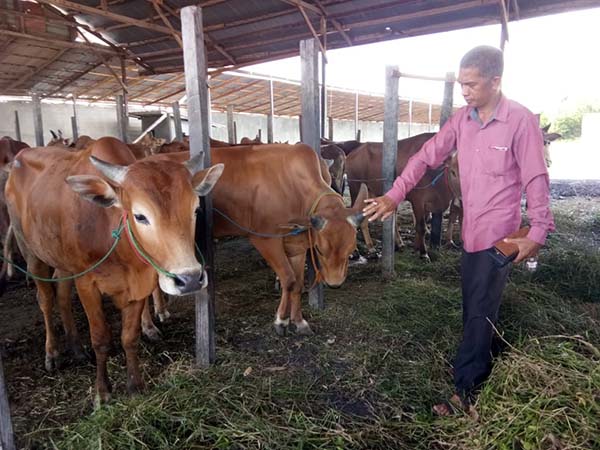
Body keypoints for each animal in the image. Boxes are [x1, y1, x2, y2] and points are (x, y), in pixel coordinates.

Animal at [4, 138, 225, 400]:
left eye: (195, 210)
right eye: (140, 216)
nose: (189, 279)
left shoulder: (140, 284)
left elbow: (129, 337)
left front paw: (135, 385)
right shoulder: (87, 284)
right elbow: (101, 339)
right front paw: (102, 392)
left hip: (63, 263)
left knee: (63, 295)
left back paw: (76, 347)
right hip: (31, 251)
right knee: (46, 300)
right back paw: (53, 353)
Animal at [149, 143, 366, 334]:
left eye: (350, 250)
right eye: (320, 250)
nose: (335, 283)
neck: (294, 186)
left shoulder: (296, 244)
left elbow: (297, 283)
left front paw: (299, 321)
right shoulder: (265, 239)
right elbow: (288, 279)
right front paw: (281, 321)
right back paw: (158, 314)